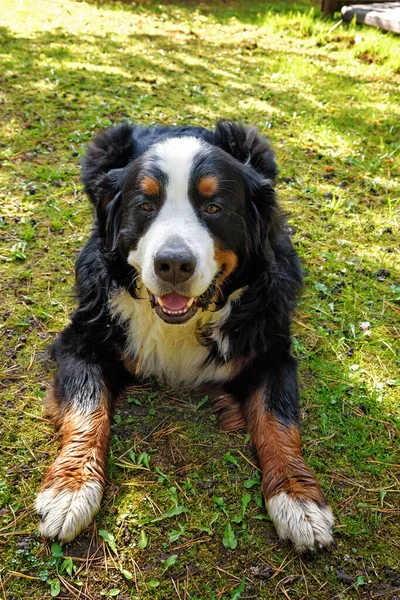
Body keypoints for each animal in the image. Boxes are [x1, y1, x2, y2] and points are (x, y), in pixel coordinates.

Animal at [35, 120, 334, 552]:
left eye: (213, 207)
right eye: (145, 206)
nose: (173, 263)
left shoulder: (271, 351)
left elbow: (279, 422)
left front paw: (299, 501)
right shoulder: (82, 341)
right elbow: (87, 409)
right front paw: (70, 490)